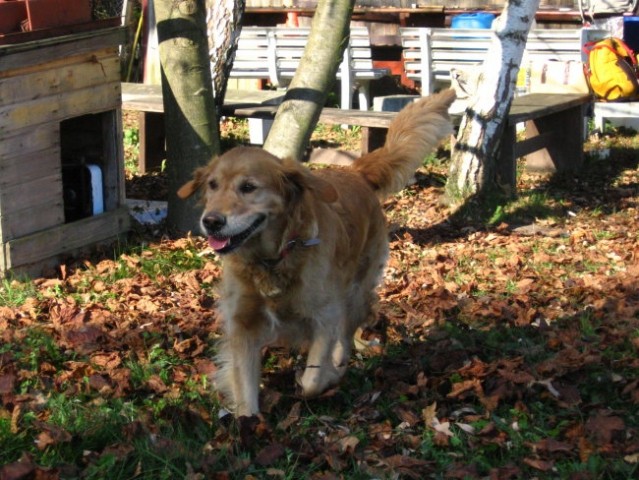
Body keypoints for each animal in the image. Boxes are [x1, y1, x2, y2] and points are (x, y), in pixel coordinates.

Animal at [179, 89, 456, 416]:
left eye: (248, 187)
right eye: (212, 185)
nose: (211, 221)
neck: (273, 259)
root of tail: (355, 171)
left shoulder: (326, 315)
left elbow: (312, 379)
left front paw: (325, 378)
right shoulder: (243, 323)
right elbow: (245, 390)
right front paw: (248, 420)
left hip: (355, 294)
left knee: (346, 337)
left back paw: (339, 368)